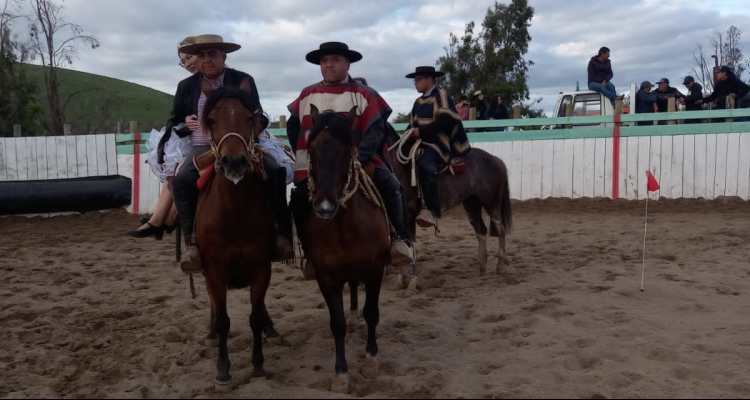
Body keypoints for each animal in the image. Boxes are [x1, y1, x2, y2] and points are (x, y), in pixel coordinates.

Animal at [195, 81, 280, 390]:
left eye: (249, 118)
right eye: (211, 120)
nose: (234, 162)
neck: (234, 215)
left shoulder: (261, 266)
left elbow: (254, 316)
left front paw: (258, 366)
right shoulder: (214, 269)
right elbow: (223, 320)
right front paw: (223, 371)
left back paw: (271, 329)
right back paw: (209, 333)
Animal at [302, 104, 390, 394]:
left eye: (346, 150)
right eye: (312, 149)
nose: (324, 208)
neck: (344, 227)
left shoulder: (374, 271)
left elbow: (372, 313)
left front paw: (371, 362)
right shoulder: (327, 278)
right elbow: (337, 324)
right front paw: (341, 374)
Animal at [388, 123, 516, 276]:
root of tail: (496, 159)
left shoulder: (408, 214)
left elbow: (409, 244)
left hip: (492, 204)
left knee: (500, 229)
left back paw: (500, 265)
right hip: (472, 204)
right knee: (481, 230)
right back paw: (482, 267)